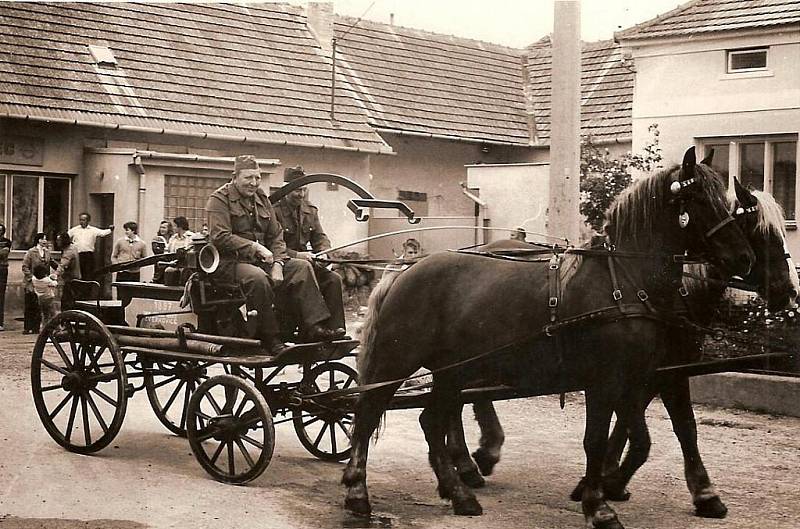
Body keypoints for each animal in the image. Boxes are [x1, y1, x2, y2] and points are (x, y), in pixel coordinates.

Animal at [344, 148, 756, 528]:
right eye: (697, 198)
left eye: (728, 201)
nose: (744, 257)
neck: (624, 281)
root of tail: (406, 269)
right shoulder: (605, 379)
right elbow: (596, 440)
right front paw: (599, 506)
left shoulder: (640, 376)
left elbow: (647, 436)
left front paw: (609, 489)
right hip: (396, 360)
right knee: (367, 415)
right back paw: (358, 493)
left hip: (453, 370)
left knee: (432, 420)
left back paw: (460, 492)